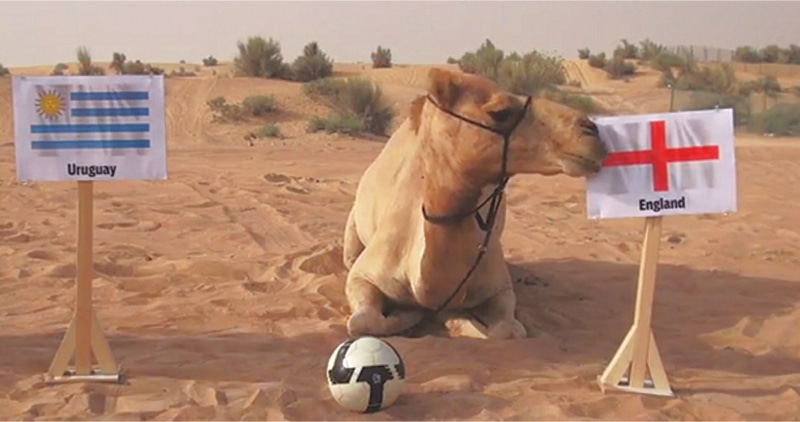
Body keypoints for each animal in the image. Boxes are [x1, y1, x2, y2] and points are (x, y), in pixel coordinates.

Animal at [342, 67, 609, 340]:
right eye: (500, 112)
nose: (591, 130)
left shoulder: (499, 287)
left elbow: (506, 330)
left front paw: (453, 319)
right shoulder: (362, 275)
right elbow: (361, 322)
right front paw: (406, 315)